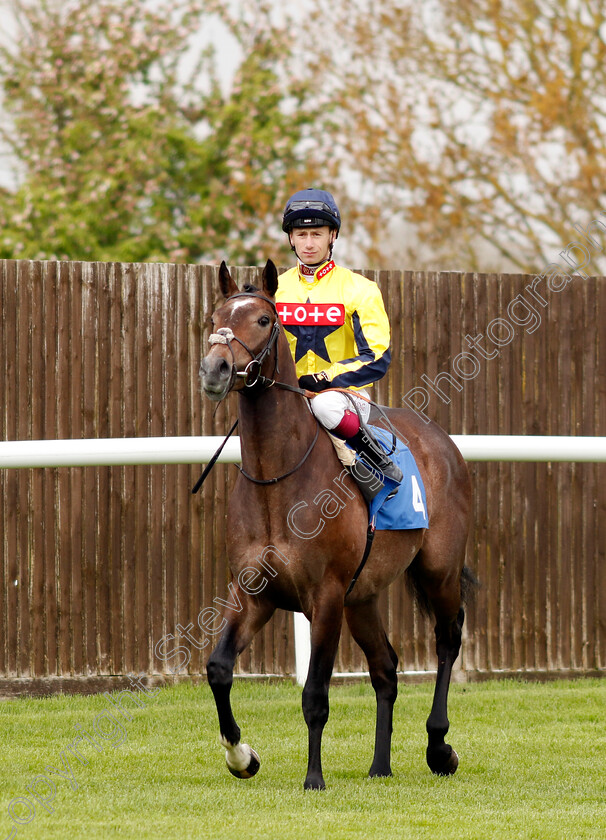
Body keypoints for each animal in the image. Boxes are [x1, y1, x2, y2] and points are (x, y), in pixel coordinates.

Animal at [200, 258, 476, 788]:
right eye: (215, 317)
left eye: (263, 320)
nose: (215, 369)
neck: (277, 481)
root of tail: (439, 438)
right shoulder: (253, 592)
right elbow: (219, 668)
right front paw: (241, 756)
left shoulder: (324, 597)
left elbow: (315, 695)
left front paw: (314, 779)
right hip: (362, 597)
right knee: (386, 668)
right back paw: (380, 765)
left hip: (439, 570)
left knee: (447, 639)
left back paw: (439, 747)